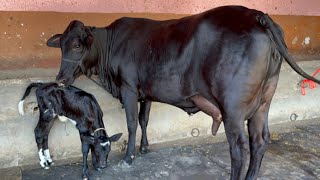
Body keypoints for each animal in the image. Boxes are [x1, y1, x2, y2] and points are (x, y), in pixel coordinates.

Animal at [45, 5, 320, 180]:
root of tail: (258, 15)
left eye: (77, 44)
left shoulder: (129, 88)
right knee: (259, 139)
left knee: (240, 146)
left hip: (233, 108)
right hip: (263, 102)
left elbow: (132, 123)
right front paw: (145, 148)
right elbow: (144, 120)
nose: (60, 78)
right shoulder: (146, 92)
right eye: (61, 45)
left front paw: (129, 156)